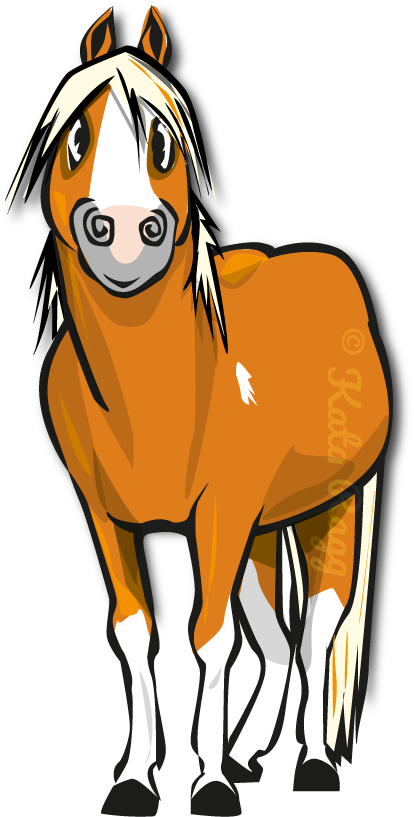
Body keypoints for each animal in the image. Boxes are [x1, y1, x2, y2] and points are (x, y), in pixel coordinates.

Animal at [8, 5, 391, 811]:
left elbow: (211, 637)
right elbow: (134, 632)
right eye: (76, 139)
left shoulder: (223, 507)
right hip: (259, 528)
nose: (125, 231)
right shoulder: (106, 513)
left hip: (327, 503)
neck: (157, 390)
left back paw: (310, 762)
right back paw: (248, 752)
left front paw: (209, 784)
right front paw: (134, 778)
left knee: (317, 625)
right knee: (277, 636)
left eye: (162, 142)